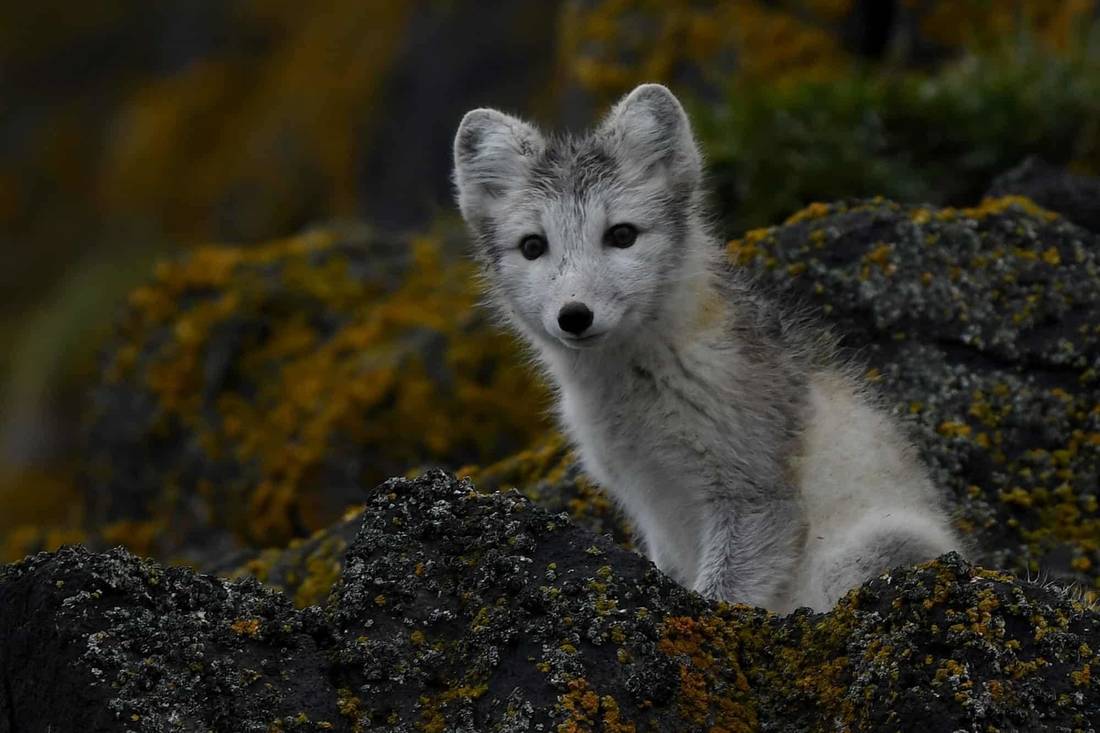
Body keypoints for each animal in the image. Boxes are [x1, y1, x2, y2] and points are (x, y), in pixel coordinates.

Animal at [451, 81, 959, 611]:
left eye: (622, 235)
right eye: (533, 246)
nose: (574, 315)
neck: (634, 390)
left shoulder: (754, 497)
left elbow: (720, 596)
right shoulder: (646, 500)